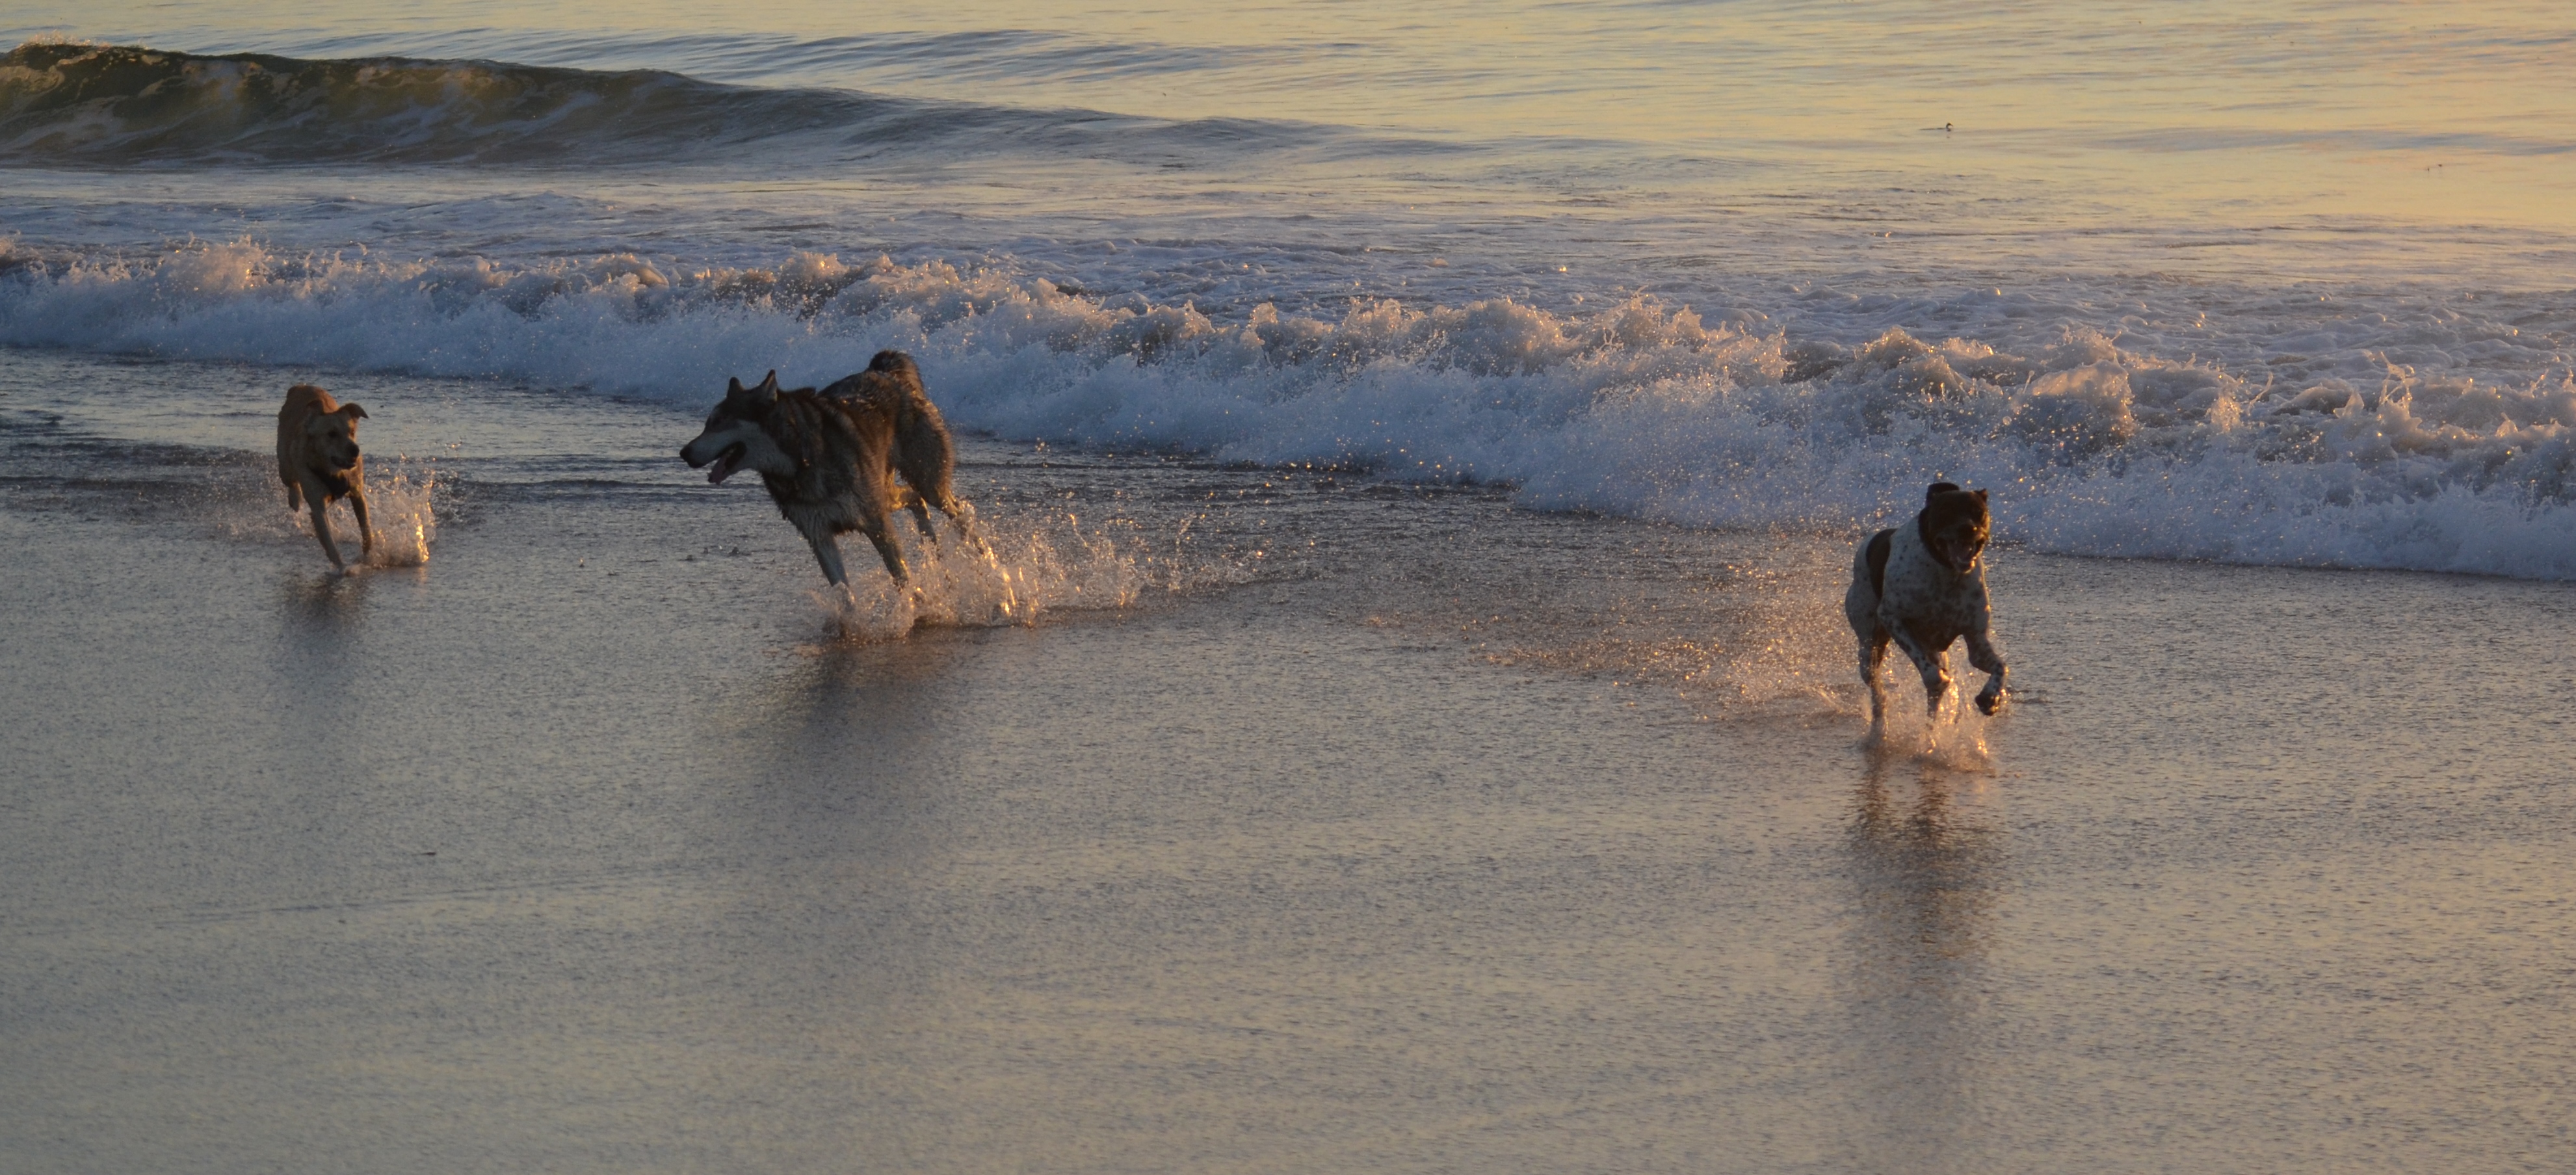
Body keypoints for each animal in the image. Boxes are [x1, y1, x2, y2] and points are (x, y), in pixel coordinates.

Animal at [276, 384, 375, 573]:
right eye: (332, 434)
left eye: (352, 431)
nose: (355, 450)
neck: (334, 470)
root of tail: (300, 386)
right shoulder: (316, 502)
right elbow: (329, 540)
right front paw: (343, 567)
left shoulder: (357, 492)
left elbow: (366, 527)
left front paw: (368, 555)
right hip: (285, 461)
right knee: (291, 480)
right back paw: (295, 499)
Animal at [679, 350, 986, 588]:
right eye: (707, 423)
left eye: (719, 423)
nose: (684, 453)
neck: (799, 461)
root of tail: (884, 372)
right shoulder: (819, 535)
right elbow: (844, 594)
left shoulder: (876, 523)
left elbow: (902, 578)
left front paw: (915, 608)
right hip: (885, 491)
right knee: (916, 500)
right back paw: (931, 546)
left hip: (925, 481)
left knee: (955, 512)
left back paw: (987, 561)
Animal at [1844, 482, 2007, 728]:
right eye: (1946, 511)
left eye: (1978, 512)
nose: (1967, 529)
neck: (1946, 572)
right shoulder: (1893, 618)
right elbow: (1931, 674)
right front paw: (1939, 680)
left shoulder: (1976, 639)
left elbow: (2000, 666)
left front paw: (1991, 697)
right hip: (1869, 641)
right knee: (1873, 679)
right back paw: (1881, 717)